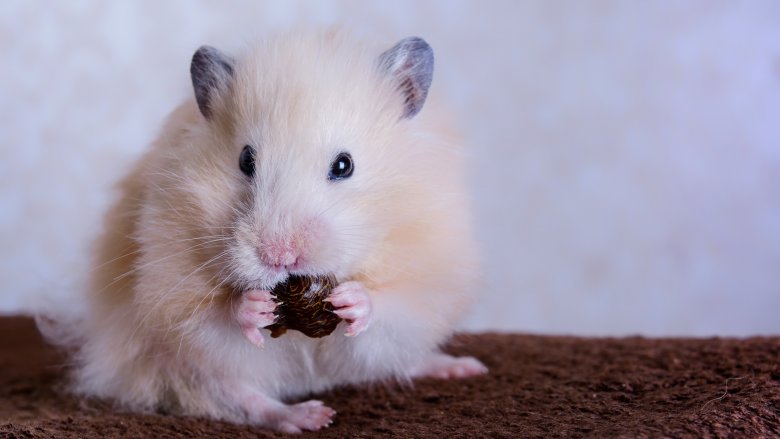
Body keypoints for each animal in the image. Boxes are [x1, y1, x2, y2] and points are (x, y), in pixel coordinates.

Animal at [71, 31, 486, 433]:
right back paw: (310, 416)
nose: (280, 257)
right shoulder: (173, 302)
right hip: (174, 366)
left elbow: (390, 309)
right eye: (246, 160)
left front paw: (353, 299)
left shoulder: (427, 286)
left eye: (344, 164)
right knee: (241, 398)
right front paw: (254, 306)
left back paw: (462, 367)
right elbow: (213, 321)